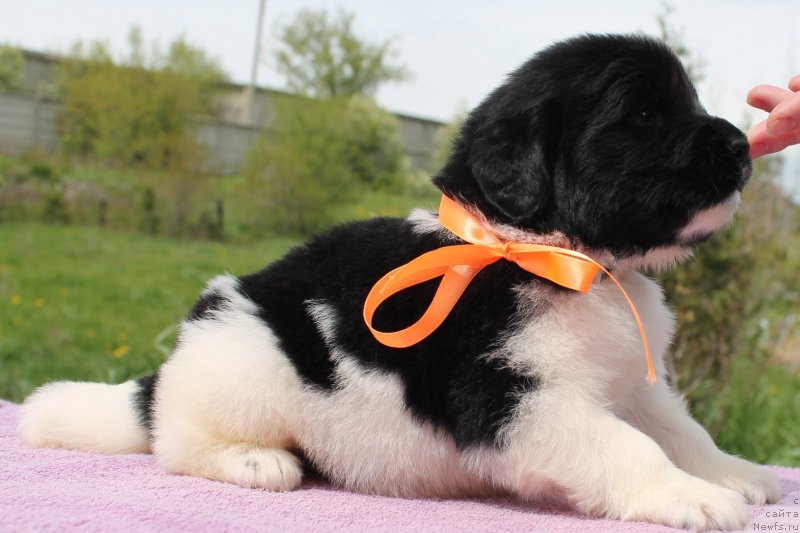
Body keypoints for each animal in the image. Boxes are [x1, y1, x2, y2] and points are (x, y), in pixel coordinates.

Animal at [18, 35, 780, 528]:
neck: (557, 256)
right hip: (246, 367)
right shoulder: (515, 396)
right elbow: (623, 445)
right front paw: (691, 497)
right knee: (175, 442)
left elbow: (680, 429)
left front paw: (737, 473)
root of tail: (166, 373)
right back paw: (256, 461)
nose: (744, 145)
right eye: (645, 114)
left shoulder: (629, 382)